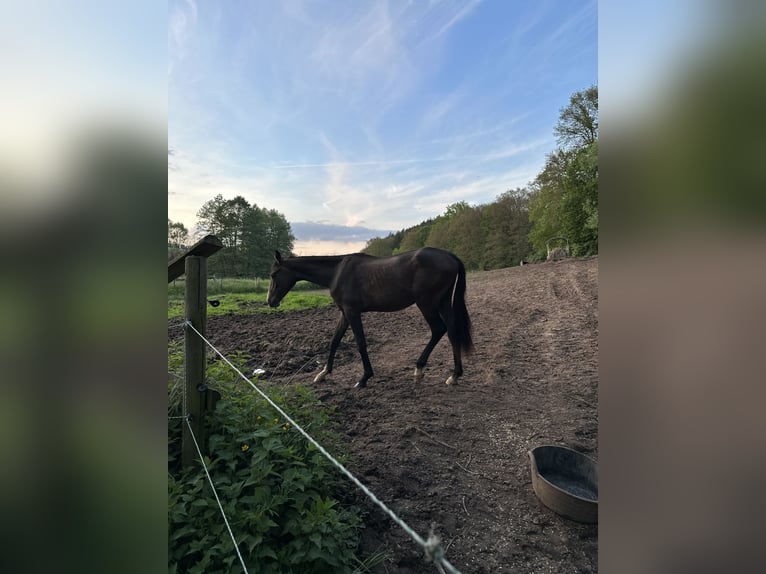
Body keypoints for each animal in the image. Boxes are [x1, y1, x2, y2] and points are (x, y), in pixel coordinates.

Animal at [268, 249, 474, 392]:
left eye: (273, 274)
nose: (270, 301)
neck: (337, 272)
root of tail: (449, 256)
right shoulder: (344, 313)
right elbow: (334, 341)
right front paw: (323, 373)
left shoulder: (352, 312)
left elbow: (360, 343)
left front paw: (364, 378)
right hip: (443, 302)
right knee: (452, 331)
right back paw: (454, 375)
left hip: (427, 304)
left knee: (438, 329)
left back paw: (419, 370)